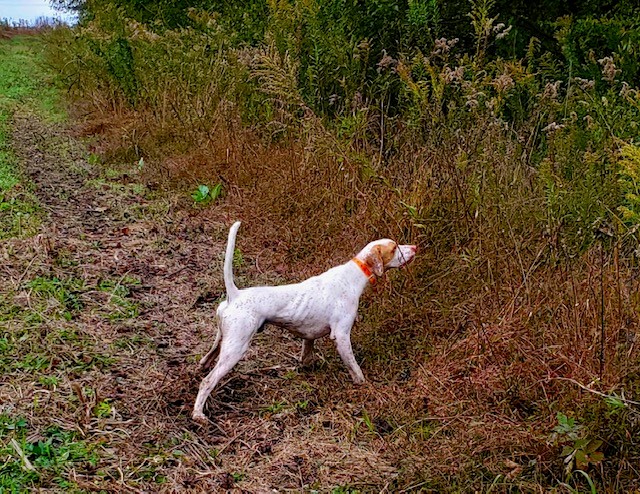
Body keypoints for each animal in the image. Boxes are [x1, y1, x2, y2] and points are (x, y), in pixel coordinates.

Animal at [192, 222, 418, 422]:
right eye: (395, 247)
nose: (415, 247)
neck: (353, 276)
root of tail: (235, 295)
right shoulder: (342, 336)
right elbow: (355, 368)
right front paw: (363, 384)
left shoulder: (309, 336)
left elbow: (306, 355)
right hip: (236, 348)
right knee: (207, 381)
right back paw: (198, 415)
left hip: (223, 340)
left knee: (206, 359)